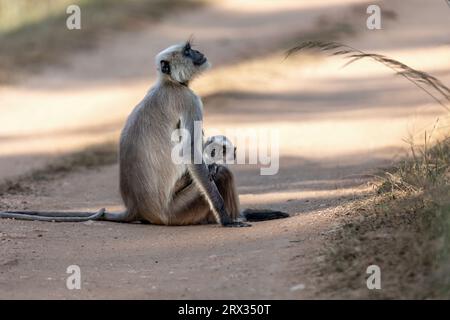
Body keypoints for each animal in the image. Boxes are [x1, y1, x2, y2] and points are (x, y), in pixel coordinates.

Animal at [0, 40, 288, 226]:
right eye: (187, 50)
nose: (199, 52)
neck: (169, 83)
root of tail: (136, 207)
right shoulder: (189, 99)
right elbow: (193, 155)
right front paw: (226, 219)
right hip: (175, 212)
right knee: (220, 174)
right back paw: (236, 215)